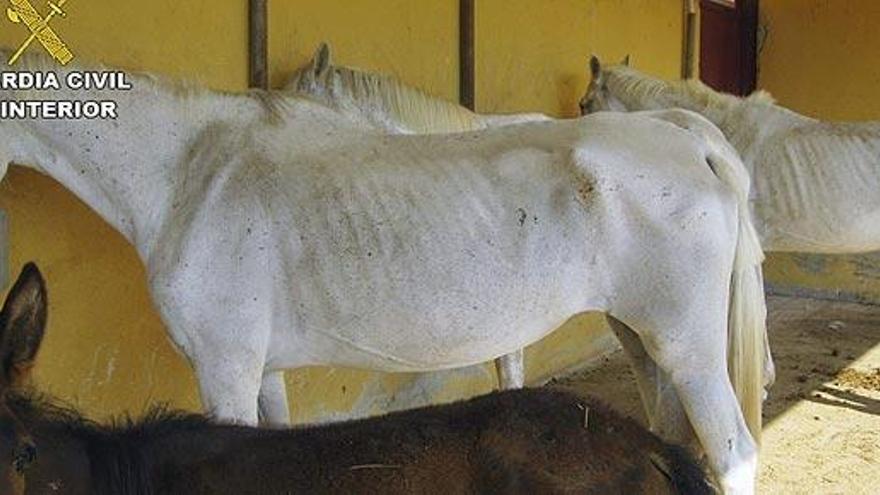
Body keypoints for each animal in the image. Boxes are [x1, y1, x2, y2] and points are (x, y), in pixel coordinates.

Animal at [0, 52, 768, 494]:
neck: (195, 170)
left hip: (688, 349)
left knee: (733, 452)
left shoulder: (226, 370)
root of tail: (683, 133)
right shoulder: (264, 371)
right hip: (641, 339)